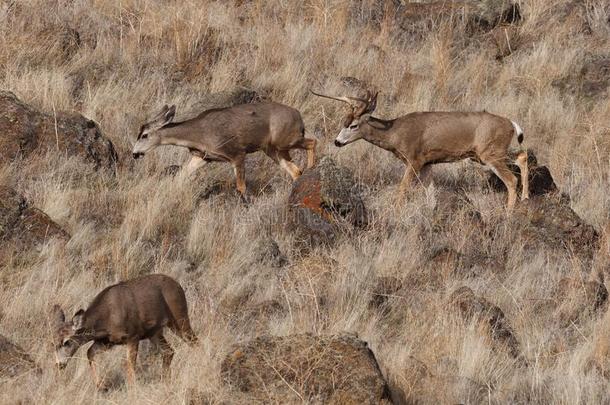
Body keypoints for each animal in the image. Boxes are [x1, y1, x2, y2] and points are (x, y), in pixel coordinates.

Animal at [50, 274, 197, 386]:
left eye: (67, 342)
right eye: (53, 344)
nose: (59, 365)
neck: (106, 320)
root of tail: (178, 285)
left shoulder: (133, 336)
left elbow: (130, 365)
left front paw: (132, 389)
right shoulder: (107, 341)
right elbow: (89, 352)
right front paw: (100, 386)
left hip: (180, 318)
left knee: (194, 342)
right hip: (154, 332)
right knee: (168, 351)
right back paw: (165, 379)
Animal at [131, 102, 316, 194]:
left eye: (144, 135)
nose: (134, 154)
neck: (199, 135)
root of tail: (298, 115)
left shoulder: (237, 153)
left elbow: (241, 187)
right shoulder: (203, 157)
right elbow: (181, 176)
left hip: (284, 141)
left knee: (313, 141)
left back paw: (311, 169)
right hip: (272, 149)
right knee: (295, 171)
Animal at [312, 88, 524, 208]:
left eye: (354, 125)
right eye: (343, 122)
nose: (337, 142)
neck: (395, 132)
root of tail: (511, 124)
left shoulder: (414, 160)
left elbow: (402, 188)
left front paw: (396, 211)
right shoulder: (427, 163)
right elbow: (430, 191)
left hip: (490, 154)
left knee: (512, 180)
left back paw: (509, 213)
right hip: (489, 154)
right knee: (522, 156)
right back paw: (525, 198)